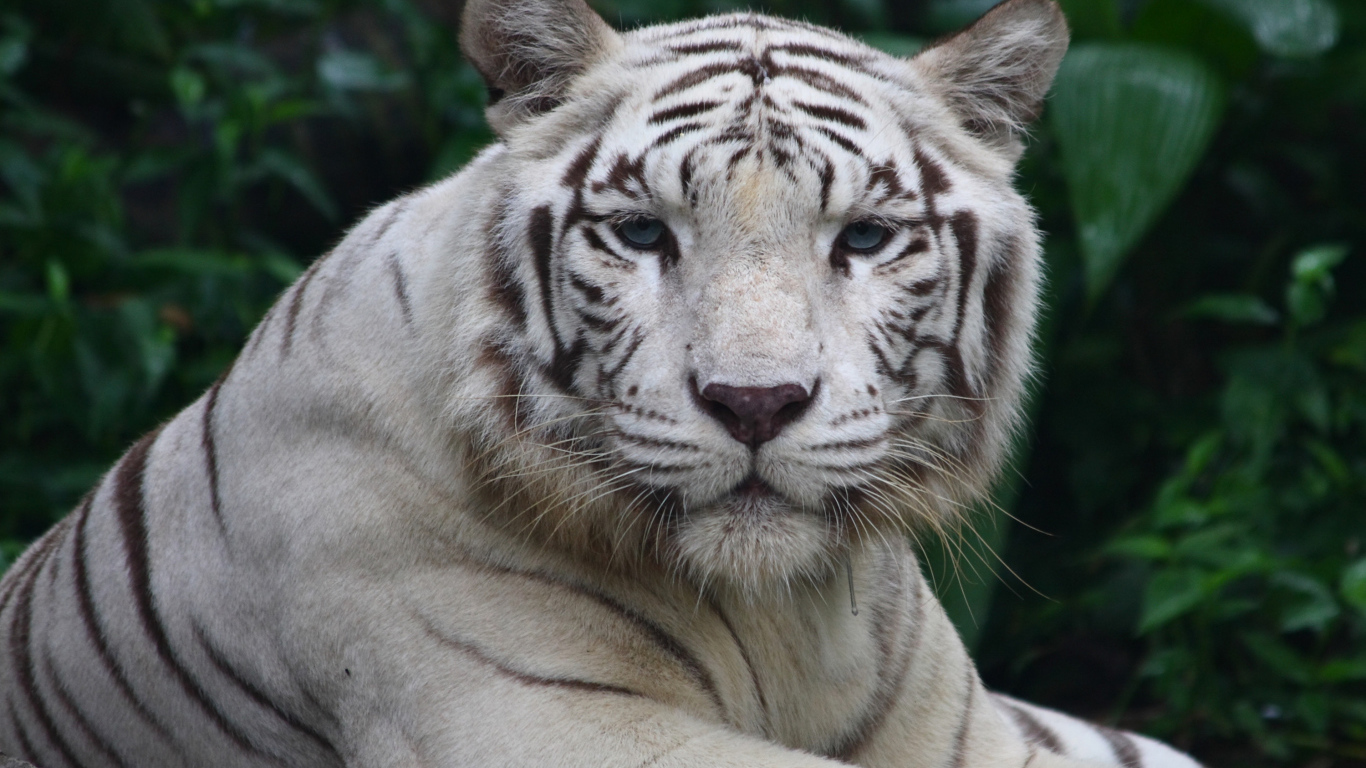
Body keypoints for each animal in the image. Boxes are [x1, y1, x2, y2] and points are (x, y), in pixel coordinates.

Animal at [0, 0, 1204, 766]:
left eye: (863, 237)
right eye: (641, 234)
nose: (756, 404)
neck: (782, 613)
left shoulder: (971, 732)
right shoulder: (533, 720)